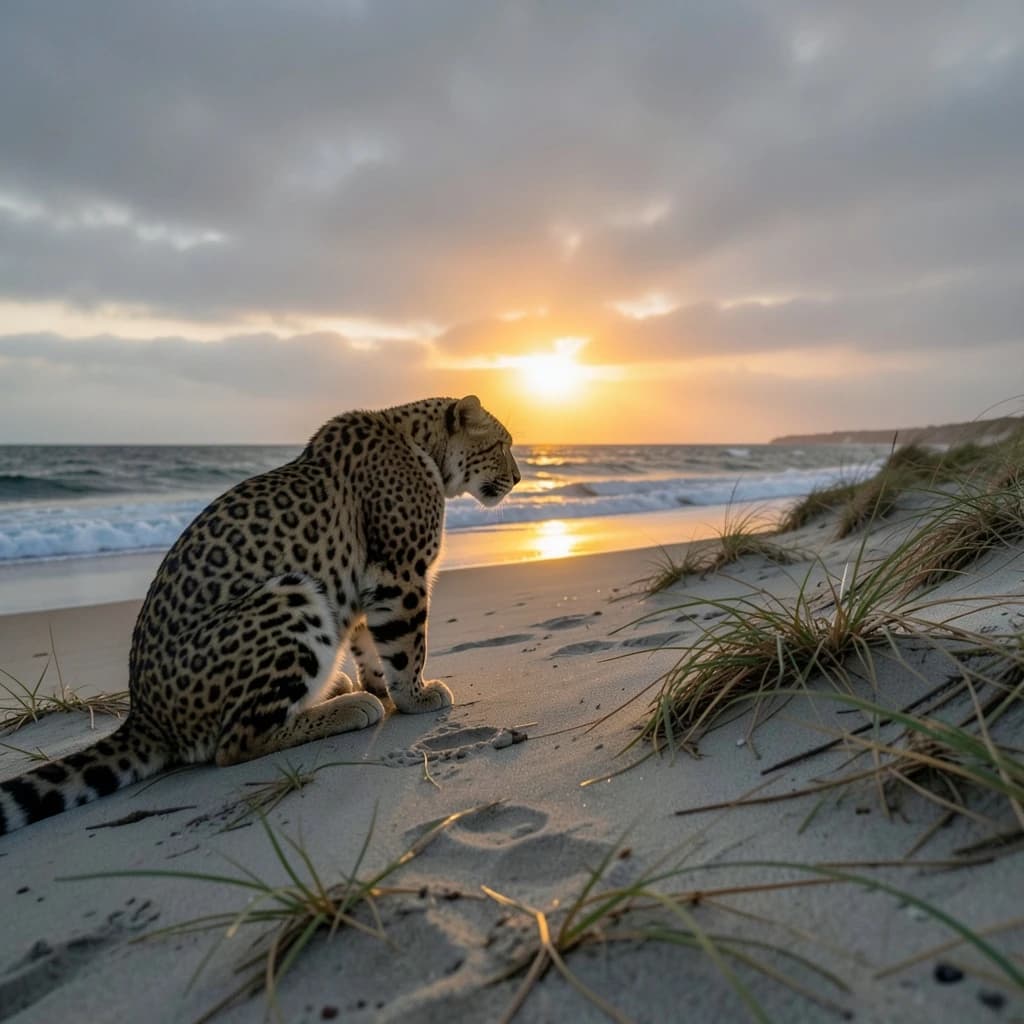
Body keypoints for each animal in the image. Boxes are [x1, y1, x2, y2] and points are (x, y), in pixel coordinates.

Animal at [0, 395, 519, 835]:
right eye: (502, 445)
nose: (517, 478)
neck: (423, 444)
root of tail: (144, 715)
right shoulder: (399, 573)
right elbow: (407, 644)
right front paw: (414, 695)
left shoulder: (360, 583)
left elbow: (367, 642)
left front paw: (379, 683)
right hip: (291, 595)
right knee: (235, 742)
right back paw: (347, 706)